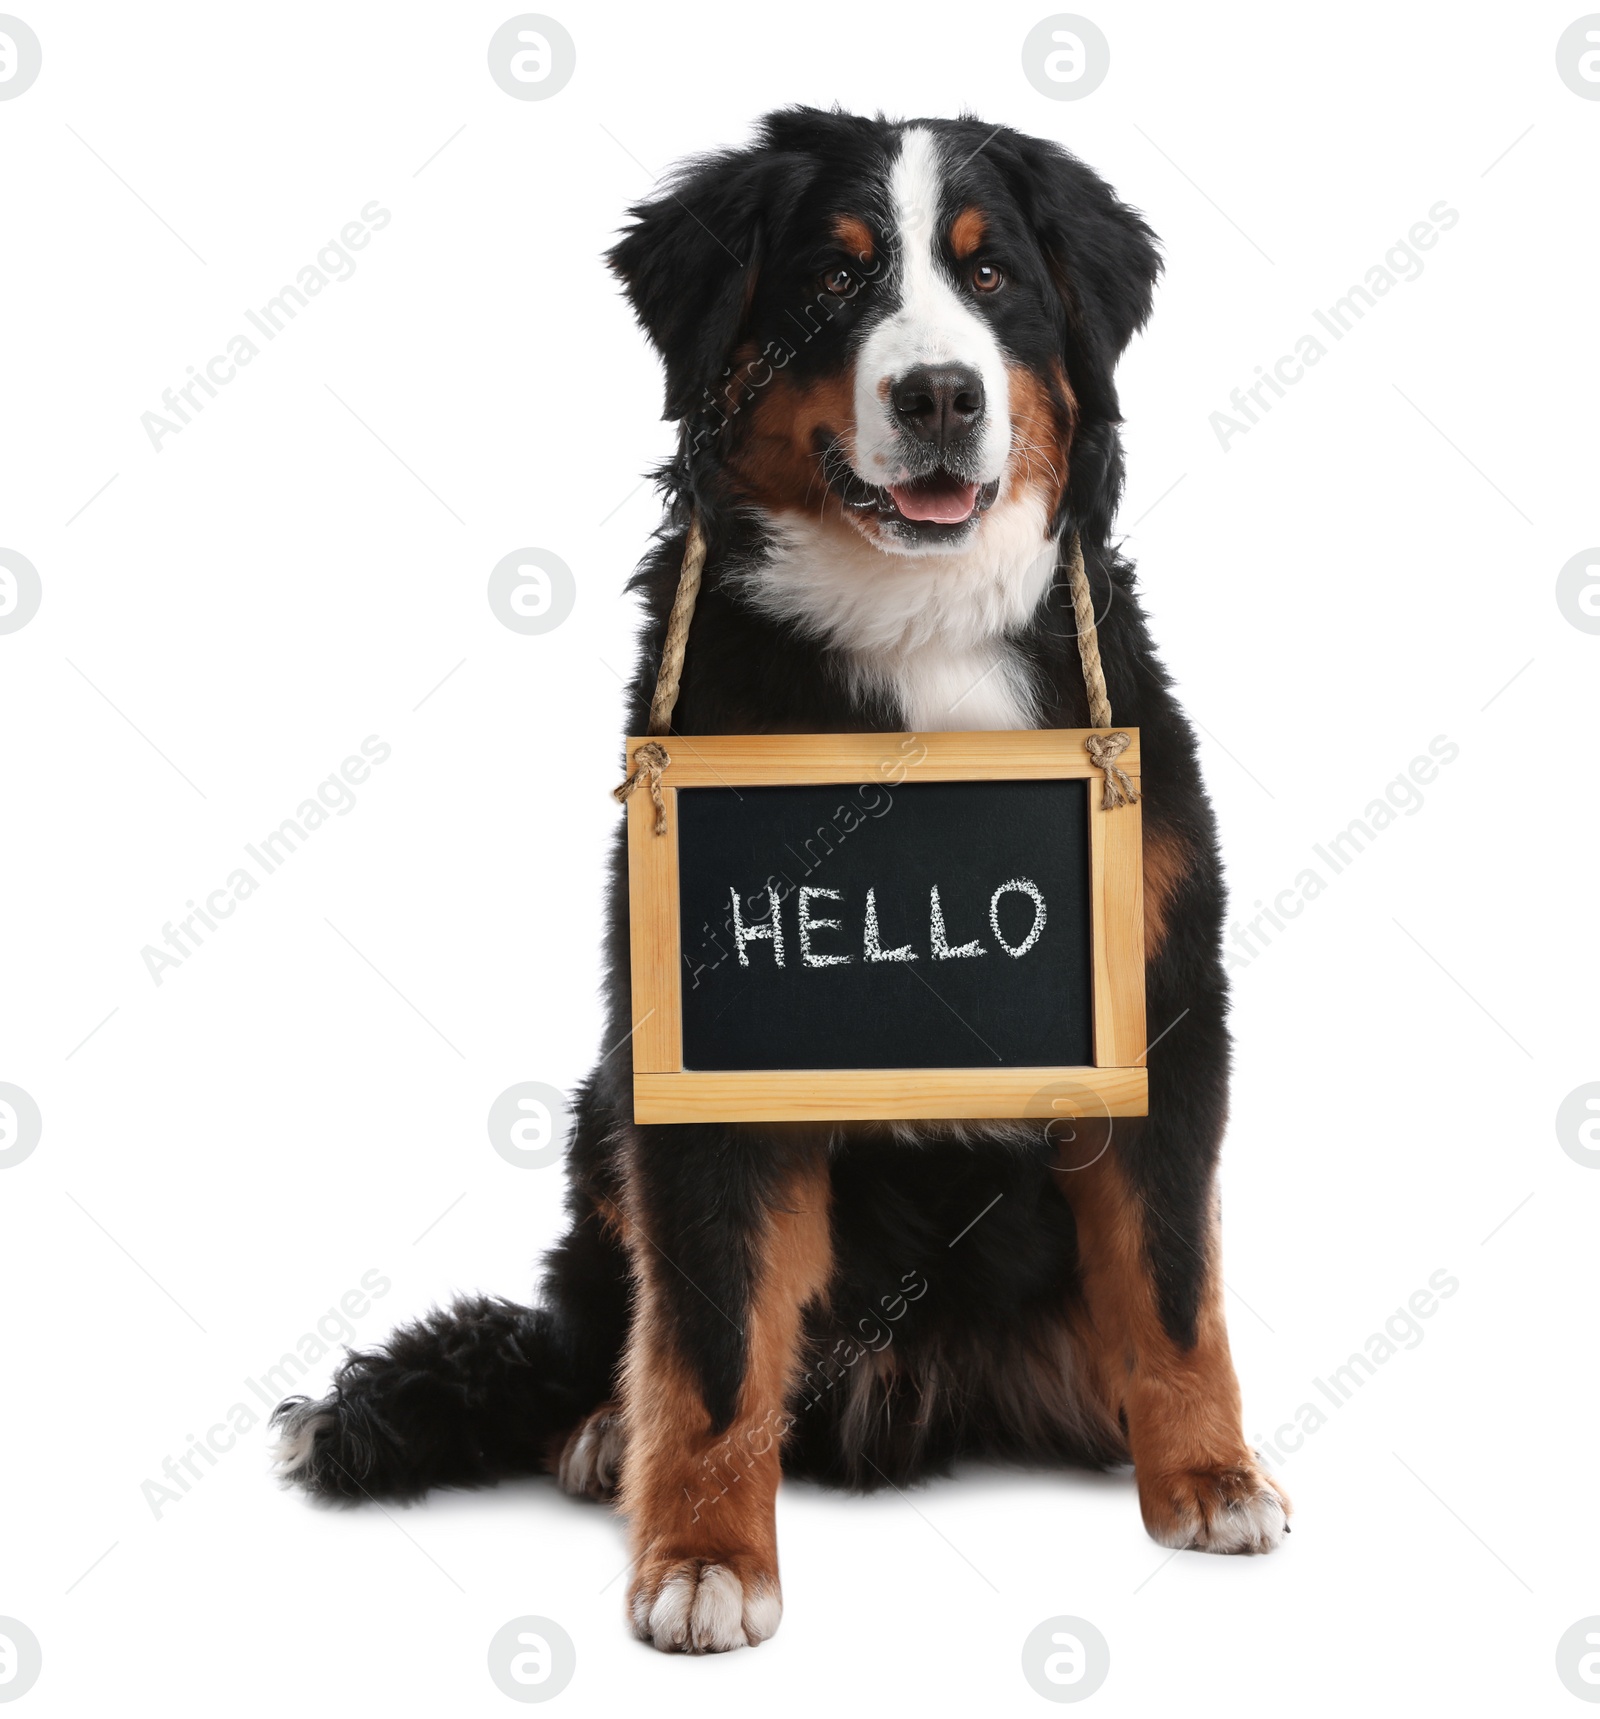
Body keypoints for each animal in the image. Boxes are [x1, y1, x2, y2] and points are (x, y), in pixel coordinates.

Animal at [274, 103, 1292, 1650]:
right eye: (834, 279)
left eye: (991, 277)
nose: (937, 394)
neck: (919, 629)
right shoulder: (703, 1045)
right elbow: (707, 1339)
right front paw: (701, 1554)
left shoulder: (1160, 1004)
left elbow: (1173, 1286)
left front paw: (1211, 1476)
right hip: (601, 1114)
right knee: (612, 1330)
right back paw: (603, 1432)